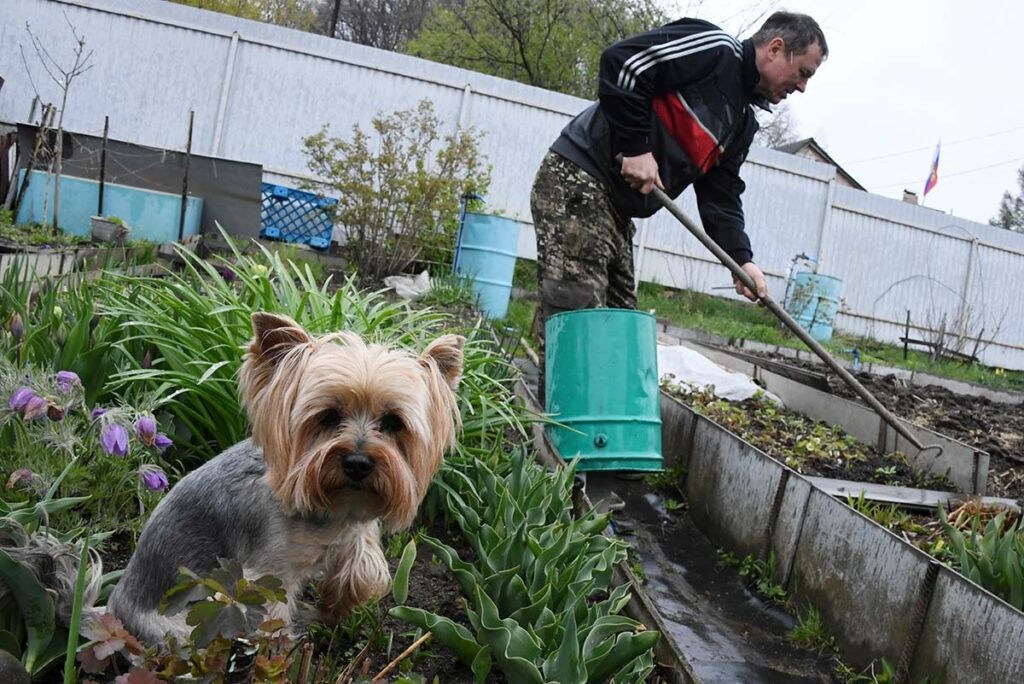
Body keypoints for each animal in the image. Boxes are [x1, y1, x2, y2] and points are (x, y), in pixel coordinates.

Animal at [108, 313, 464, 643]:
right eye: (328, 416)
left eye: (393, 422)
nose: (358, 463)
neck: (333, 505)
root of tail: (116, 602)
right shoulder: (268, 572)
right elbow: (272, 618)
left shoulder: (355, 532)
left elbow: (361, 572)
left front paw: (334, 609)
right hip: (181, 625)